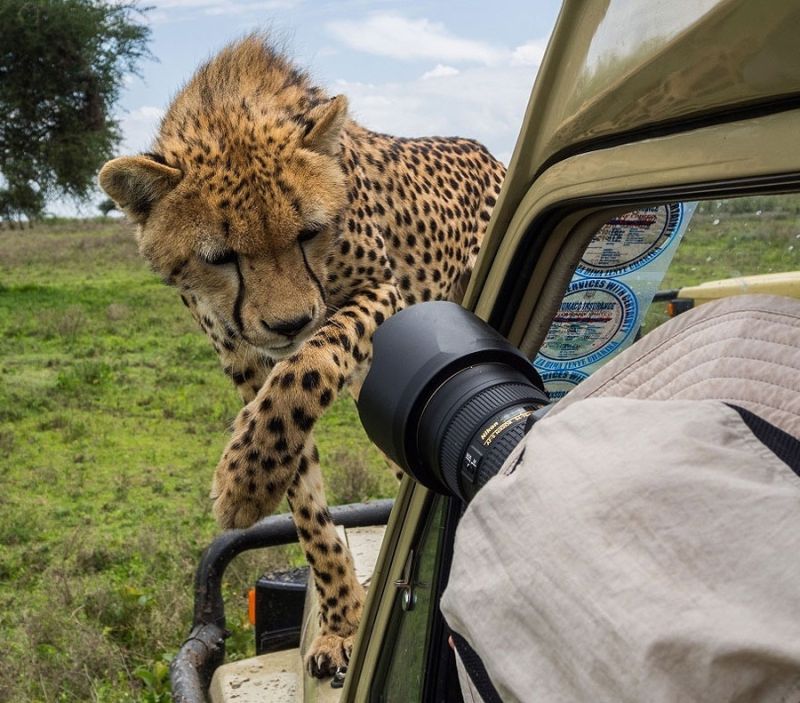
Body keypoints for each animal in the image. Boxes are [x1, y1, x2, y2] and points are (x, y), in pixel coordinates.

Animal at [97, 33, 504, 676]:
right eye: (219, 257)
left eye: (309, 232)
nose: (289, 322)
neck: (228, 109)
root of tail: (482, 148)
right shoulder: (246, 365)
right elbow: (303, 495)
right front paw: (341, 622)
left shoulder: (379, 293)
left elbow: (308, 365)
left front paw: (241, 486)